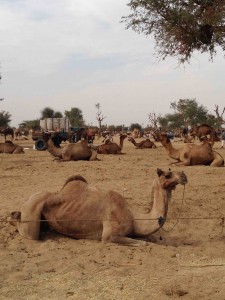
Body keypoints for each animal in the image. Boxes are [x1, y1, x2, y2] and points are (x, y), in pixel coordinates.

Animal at [7, 168, 187, 245]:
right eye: (167, 174)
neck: (134, 217)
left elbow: (151, 238)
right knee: (29, 233)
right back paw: (12, 216)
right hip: (33, 210)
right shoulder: (109, 235)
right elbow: (145, 243)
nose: (184, 175)